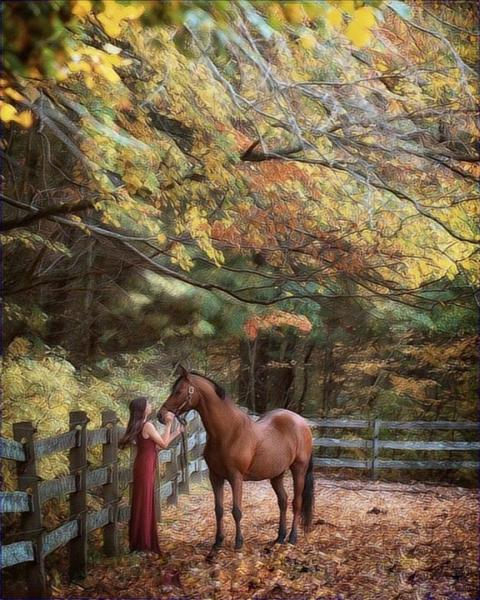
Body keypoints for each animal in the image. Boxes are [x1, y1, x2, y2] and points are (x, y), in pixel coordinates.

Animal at [158, 364, 316, 556]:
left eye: (179, 391)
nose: (160, 415)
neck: (228, 433)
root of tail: (302, 423)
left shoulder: (236, 477)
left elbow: (237, 511)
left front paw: (238, 543)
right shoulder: (215, 477)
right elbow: (218, 509)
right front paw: (218, 542)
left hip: (299, 469)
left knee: (296, 502)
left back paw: (292, 538)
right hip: (276, 474)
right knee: (283, 501)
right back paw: (279, 538)